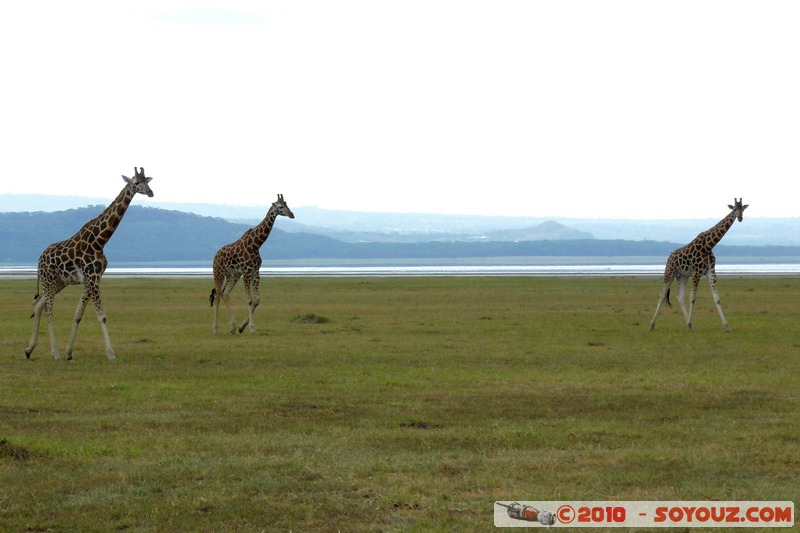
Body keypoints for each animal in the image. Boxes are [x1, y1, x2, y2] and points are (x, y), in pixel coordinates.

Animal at [24, 168, 155, 361]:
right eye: (136, 183)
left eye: (148, 181)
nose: (151, 192)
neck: (100, 241)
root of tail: (40, 258)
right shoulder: (92, 278)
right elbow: (102, 316)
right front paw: (111, 355)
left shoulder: (93, 279)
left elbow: (78, 314)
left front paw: (69, 353)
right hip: (48, 280)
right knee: (48, 309)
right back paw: (54, 353)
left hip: (59, 282)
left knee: (39, 305)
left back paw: (29, 350)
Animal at [210, 194, 295, 334]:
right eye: (280, 206)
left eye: (287, 204)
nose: (292, 215)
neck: (256, 245)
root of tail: (215, 255)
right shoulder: (247, 271)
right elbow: (249, 300)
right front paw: (252, 328)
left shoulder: (256, 272)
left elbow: (257, 299)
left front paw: (241, 327)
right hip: (219, 272)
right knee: (217, 296)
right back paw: (215, 329)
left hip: (233, 275)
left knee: (225, 294)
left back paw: (233, 327)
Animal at [649, 198, 748, 333]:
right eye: (734, 209)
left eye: (742, 209)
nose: (740, 218)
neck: (709, 245)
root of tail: (669, 257)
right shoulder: (696, 272)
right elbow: (692, 298)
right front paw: (690, 323)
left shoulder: (711, 272)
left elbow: (716, 298)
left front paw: (727, 327)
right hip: (669, 272)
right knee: (662, 294)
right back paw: (652, 325)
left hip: (682, 276)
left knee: (680, 297)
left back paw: (688, 325)